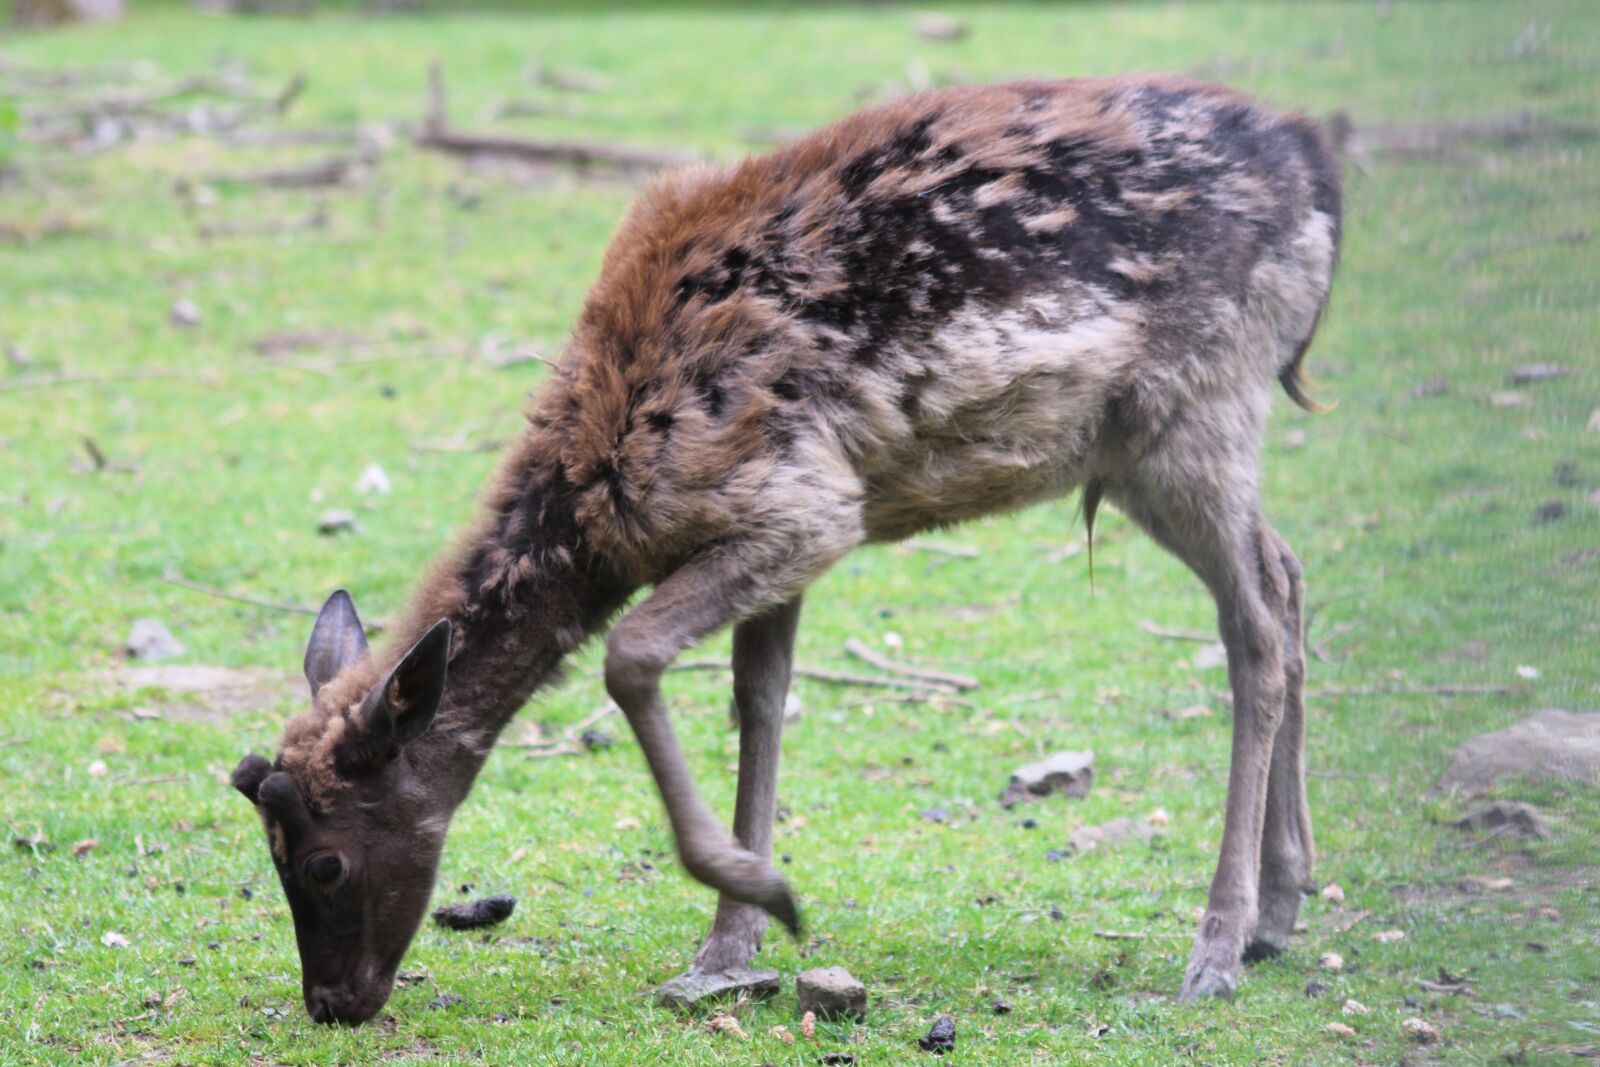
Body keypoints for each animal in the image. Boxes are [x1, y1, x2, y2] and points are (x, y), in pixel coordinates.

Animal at [230, 75, 1340, 1025]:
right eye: (267, 847)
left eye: (323, 860)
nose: (332, 1001)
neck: (603, 495)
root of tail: (1322, 179)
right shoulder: (783, 537)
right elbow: (759, 699)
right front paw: (727, 948)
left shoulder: (802, 506)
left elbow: (632, 655)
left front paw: (766, 894)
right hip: (1159, 449)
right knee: (1287, 575)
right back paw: (1283, 906)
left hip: (1193, 406)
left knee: (1252, 625)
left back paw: (1217, 947)